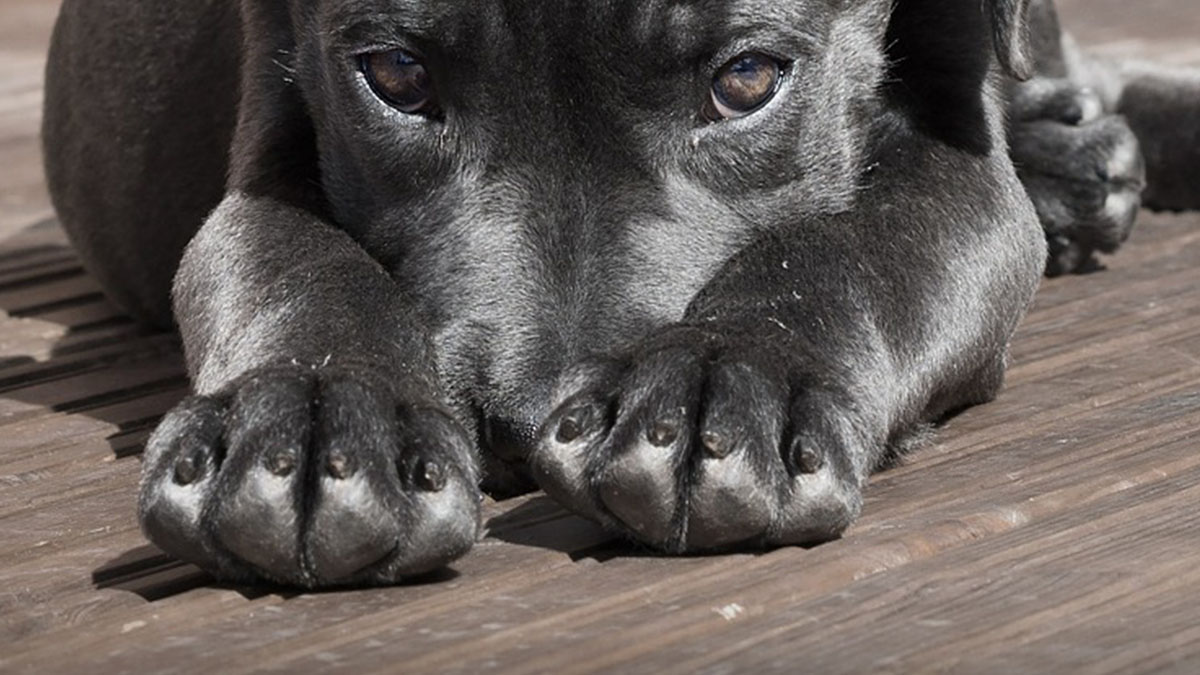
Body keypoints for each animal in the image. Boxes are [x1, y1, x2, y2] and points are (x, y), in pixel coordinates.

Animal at [42, 0, 1200, 583]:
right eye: (396, 76)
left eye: (747, 79)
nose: (522, 424)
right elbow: (289, 262)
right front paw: (316, 423)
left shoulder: (961, 166)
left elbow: (853, 250)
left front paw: (726, 388)